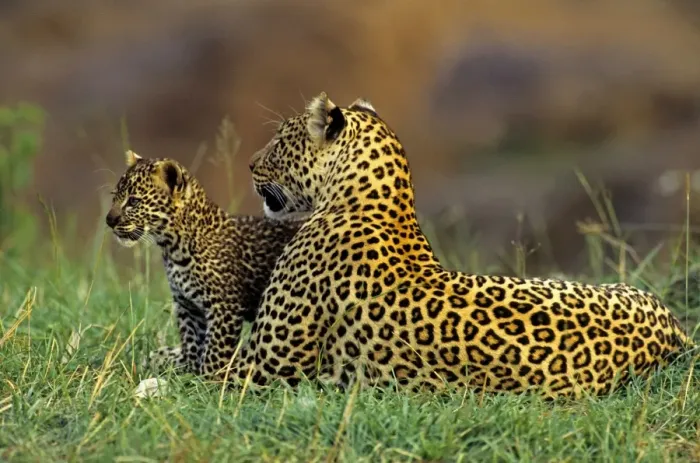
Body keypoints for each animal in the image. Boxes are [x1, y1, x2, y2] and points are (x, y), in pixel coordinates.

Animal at [105, 150, 302, 376]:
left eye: (133, 201)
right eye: (114, 196)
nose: (109, 220)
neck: (174, 248)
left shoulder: (224, 308)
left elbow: (215, 351)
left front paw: (210, 378)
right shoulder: (187, 305)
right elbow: (191, 341)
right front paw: (187, 369)